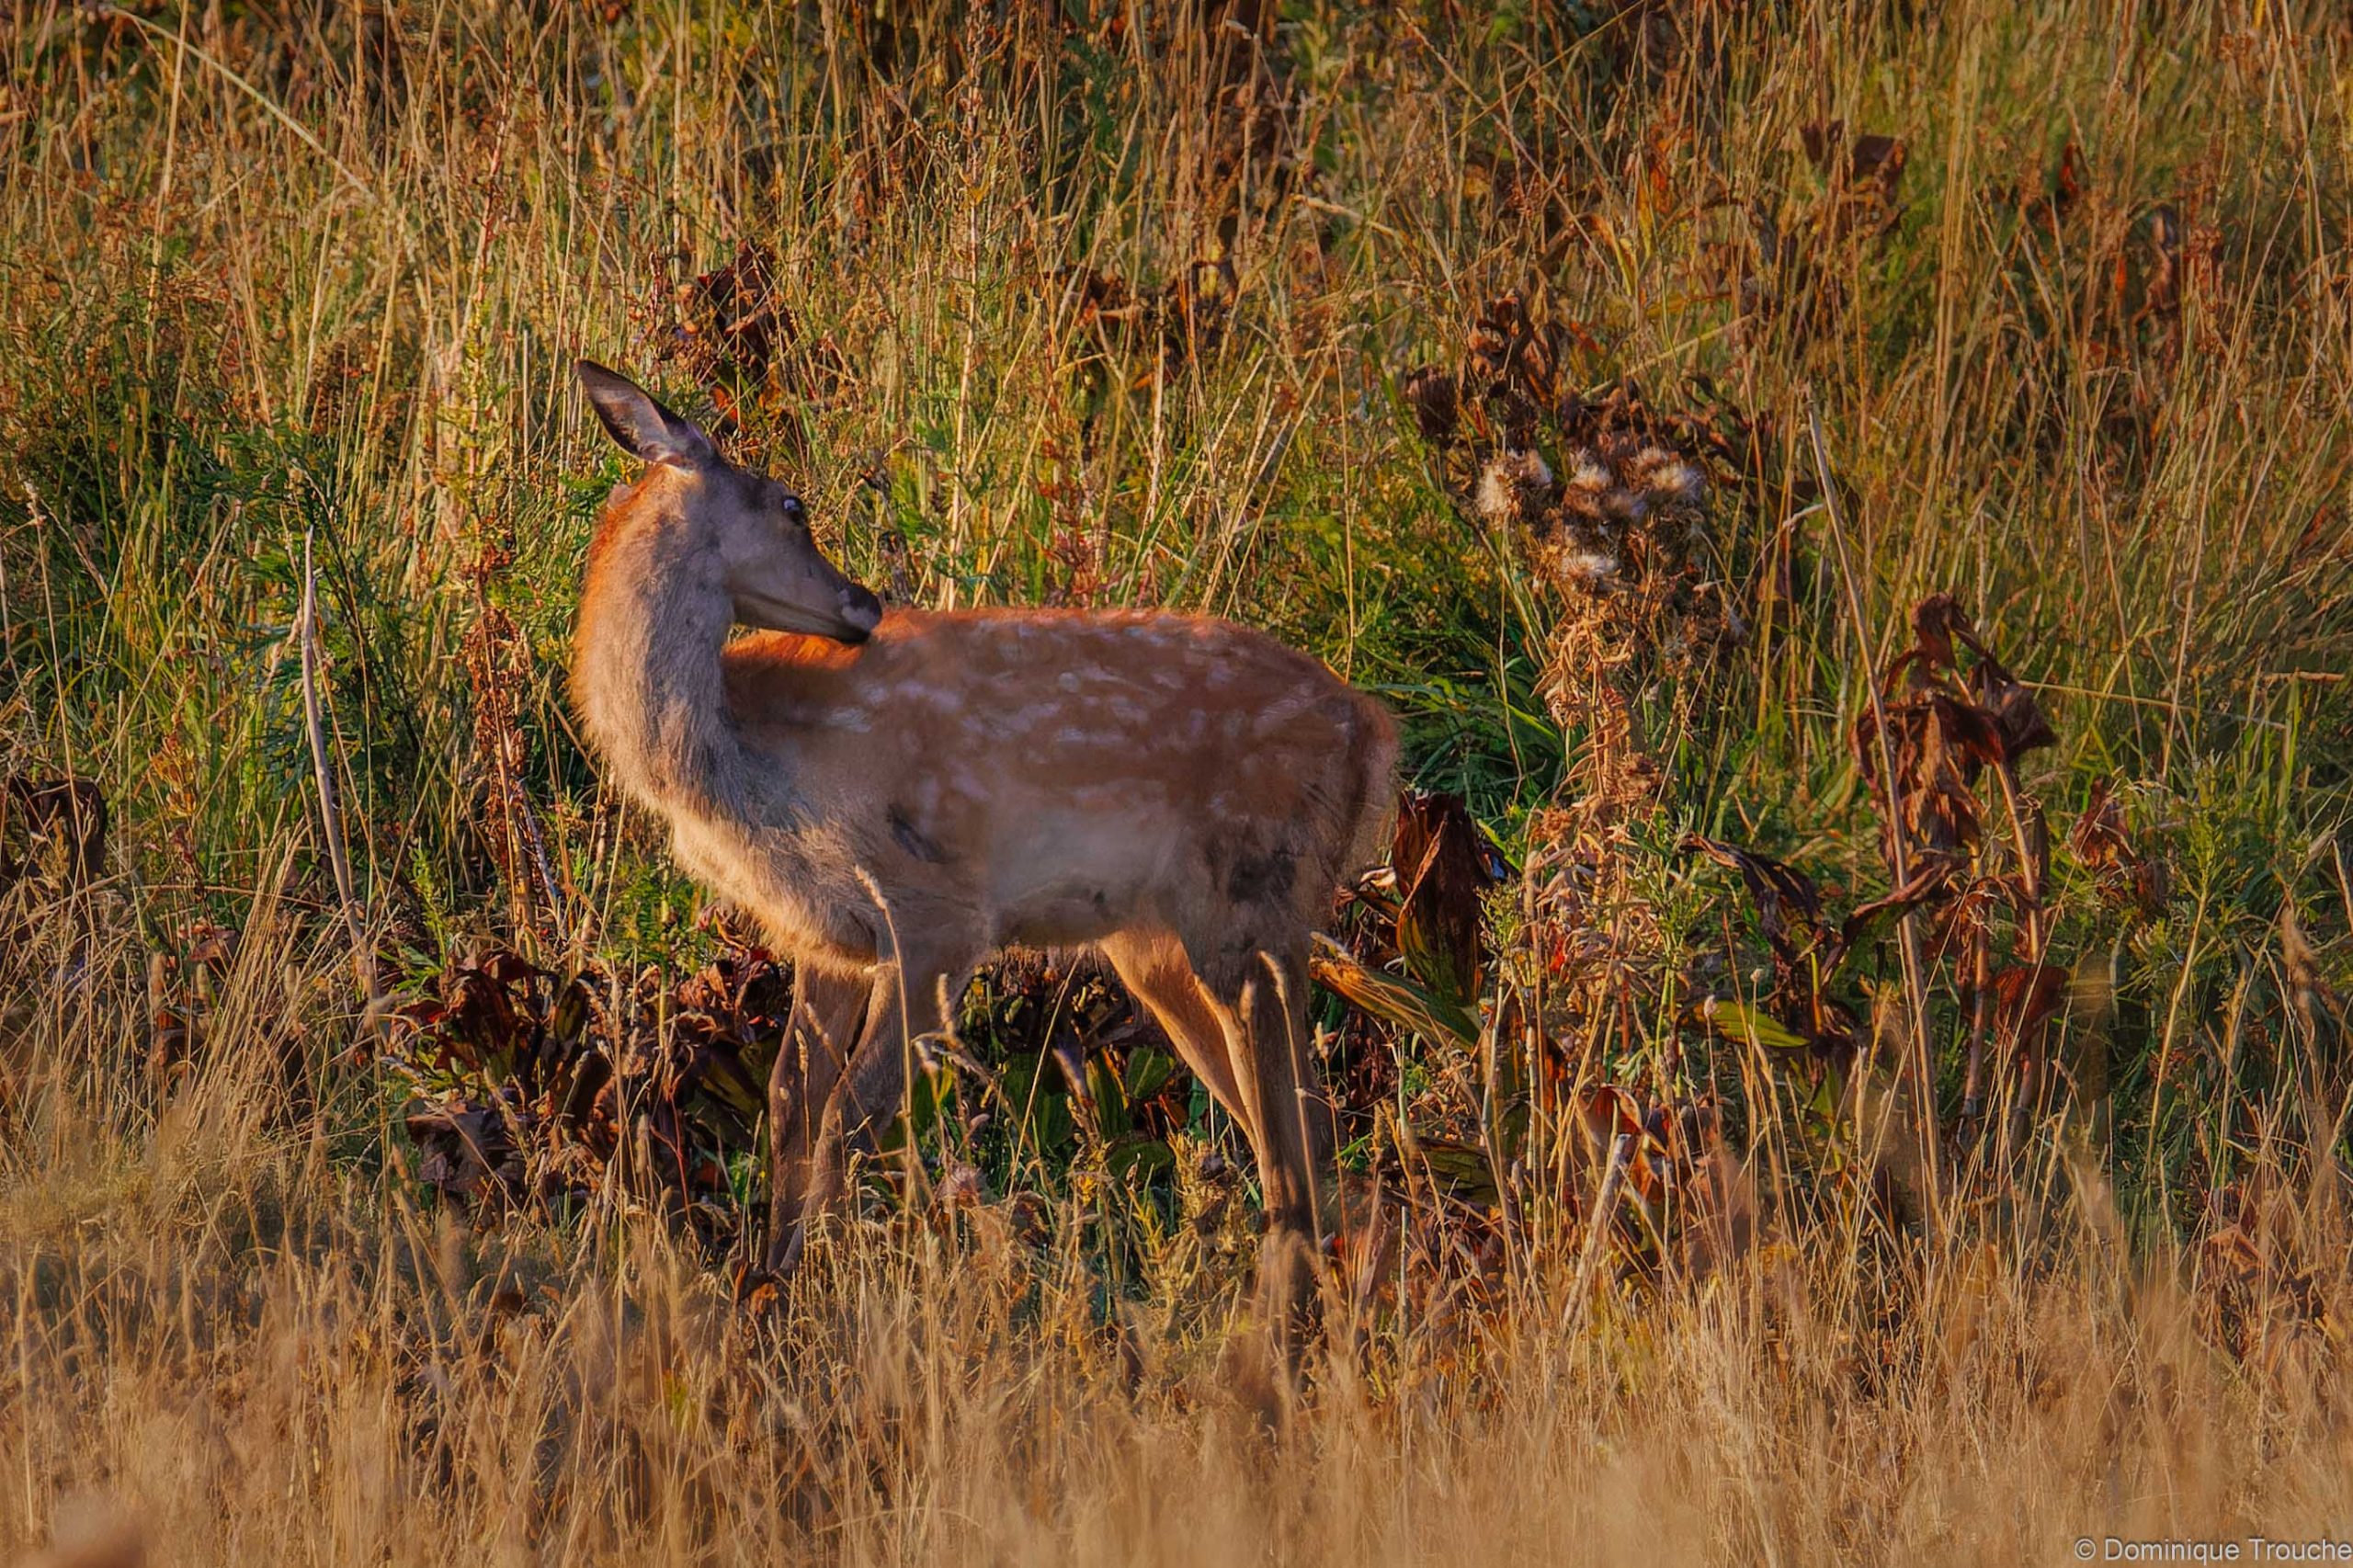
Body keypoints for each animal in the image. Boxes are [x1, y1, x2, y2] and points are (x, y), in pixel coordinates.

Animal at [568, 361, 1396, 1339]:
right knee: (1328, 1157)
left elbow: (854, 1116)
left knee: (1295, 1156)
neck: (742, 760)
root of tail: (1373, 732)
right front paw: (766, 1290)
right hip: (1163, 942)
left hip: (1249, 899)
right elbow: (790, 1108)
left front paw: (815, 1297)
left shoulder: (940, 914)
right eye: (793, 504)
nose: (864, 603)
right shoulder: (826, 936)